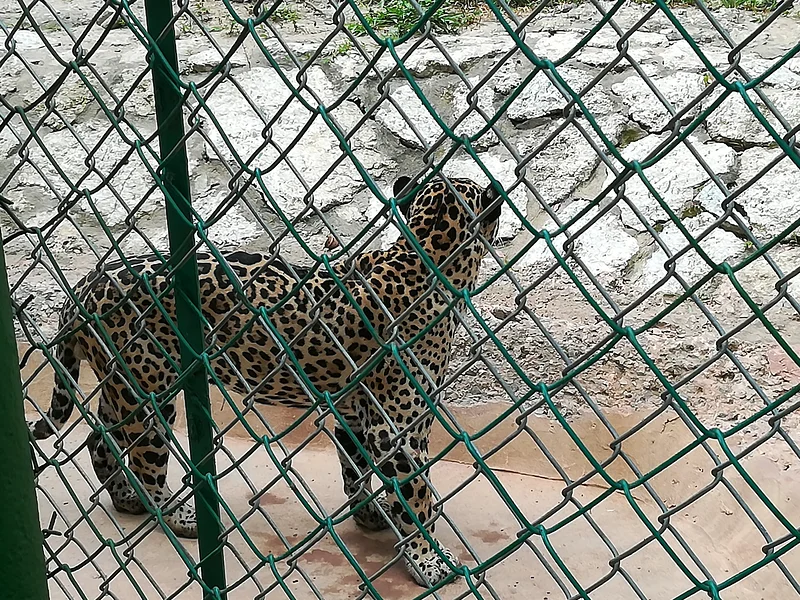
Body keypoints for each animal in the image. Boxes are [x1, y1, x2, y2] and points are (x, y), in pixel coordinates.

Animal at [28, 175, 502, 587]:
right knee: (146, 459)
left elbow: (355, 468)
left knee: (99, 438)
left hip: (123, 381)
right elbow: (416, 493)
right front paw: (428, 558)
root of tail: (84, 285)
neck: (424, 252)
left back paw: (126, 499)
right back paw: (179, 516)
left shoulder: (355, 411)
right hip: (148, 389)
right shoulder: (397, 427)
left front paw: (369, 514)